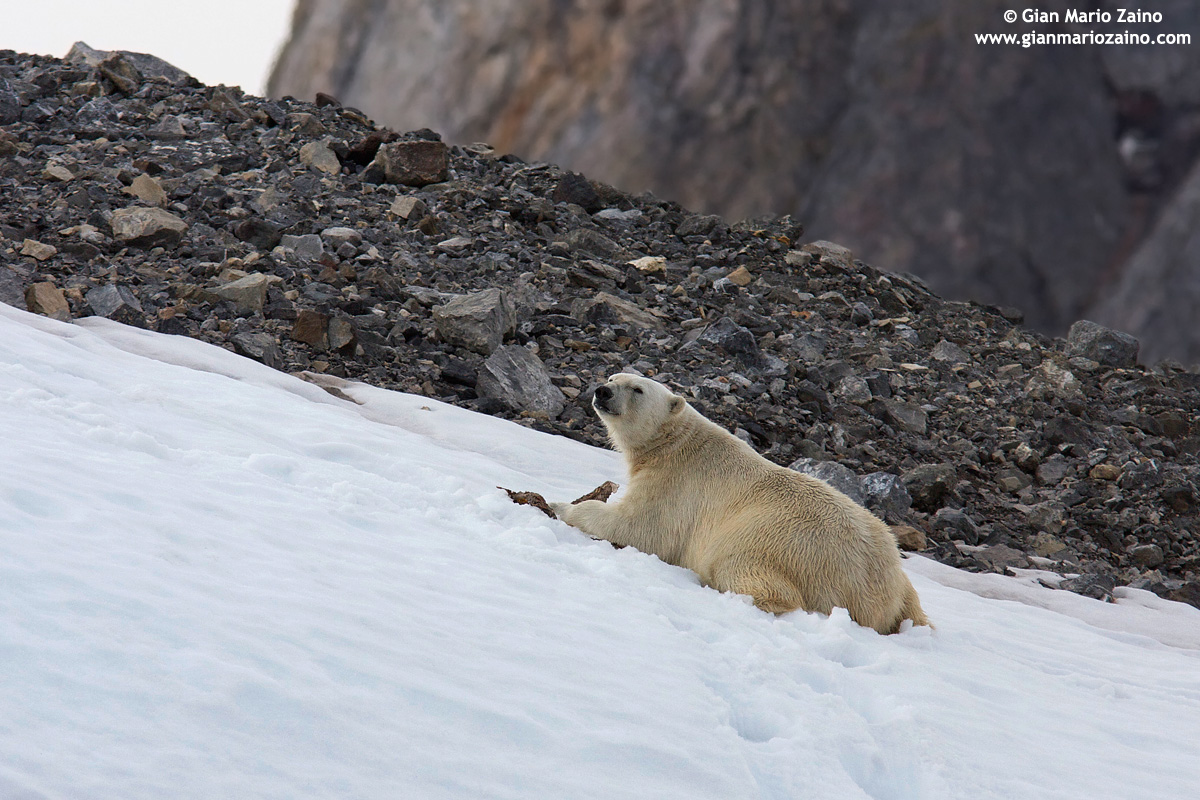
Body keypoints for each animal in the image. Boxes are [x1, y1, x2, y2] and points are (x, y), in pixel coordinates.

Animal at [551, 373, 930, 634]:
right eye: (613, 377)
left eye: (638, 389)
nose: (602, 391)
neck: (673, 443)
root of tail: (879, 591)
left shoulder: (677, 484)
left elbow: (641, 527)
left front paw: (560, 506)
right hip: (899, 578)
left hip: (778, 543)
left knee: (748, 574)